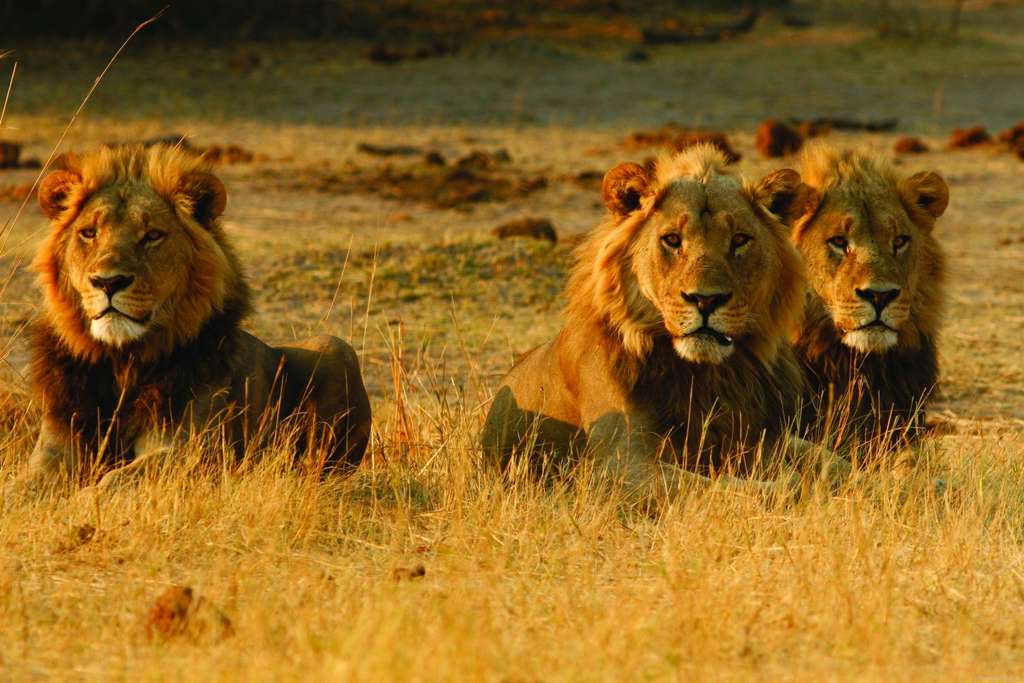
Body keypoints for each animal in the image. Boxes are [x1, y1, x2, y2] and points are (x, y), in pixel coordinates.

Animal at [4, 144, 372, 497]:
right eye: (89, 233)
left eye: (152, 235)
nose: (107, 282)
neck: (122, 361)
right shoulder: (55, 448)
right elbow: (19, 489)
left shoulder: (195, 452)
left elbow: (120, 479)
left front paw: (86, 499)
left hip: (334, 347)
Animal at [481, 145, 831, 497]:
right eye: (672, 240)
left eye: (739, 240)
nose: (706, 300)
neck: (707, 376)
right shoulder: (618, 466)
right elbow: (730, 487)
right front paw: (790, 485)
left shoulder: (766, 435)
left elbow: (830, 461)